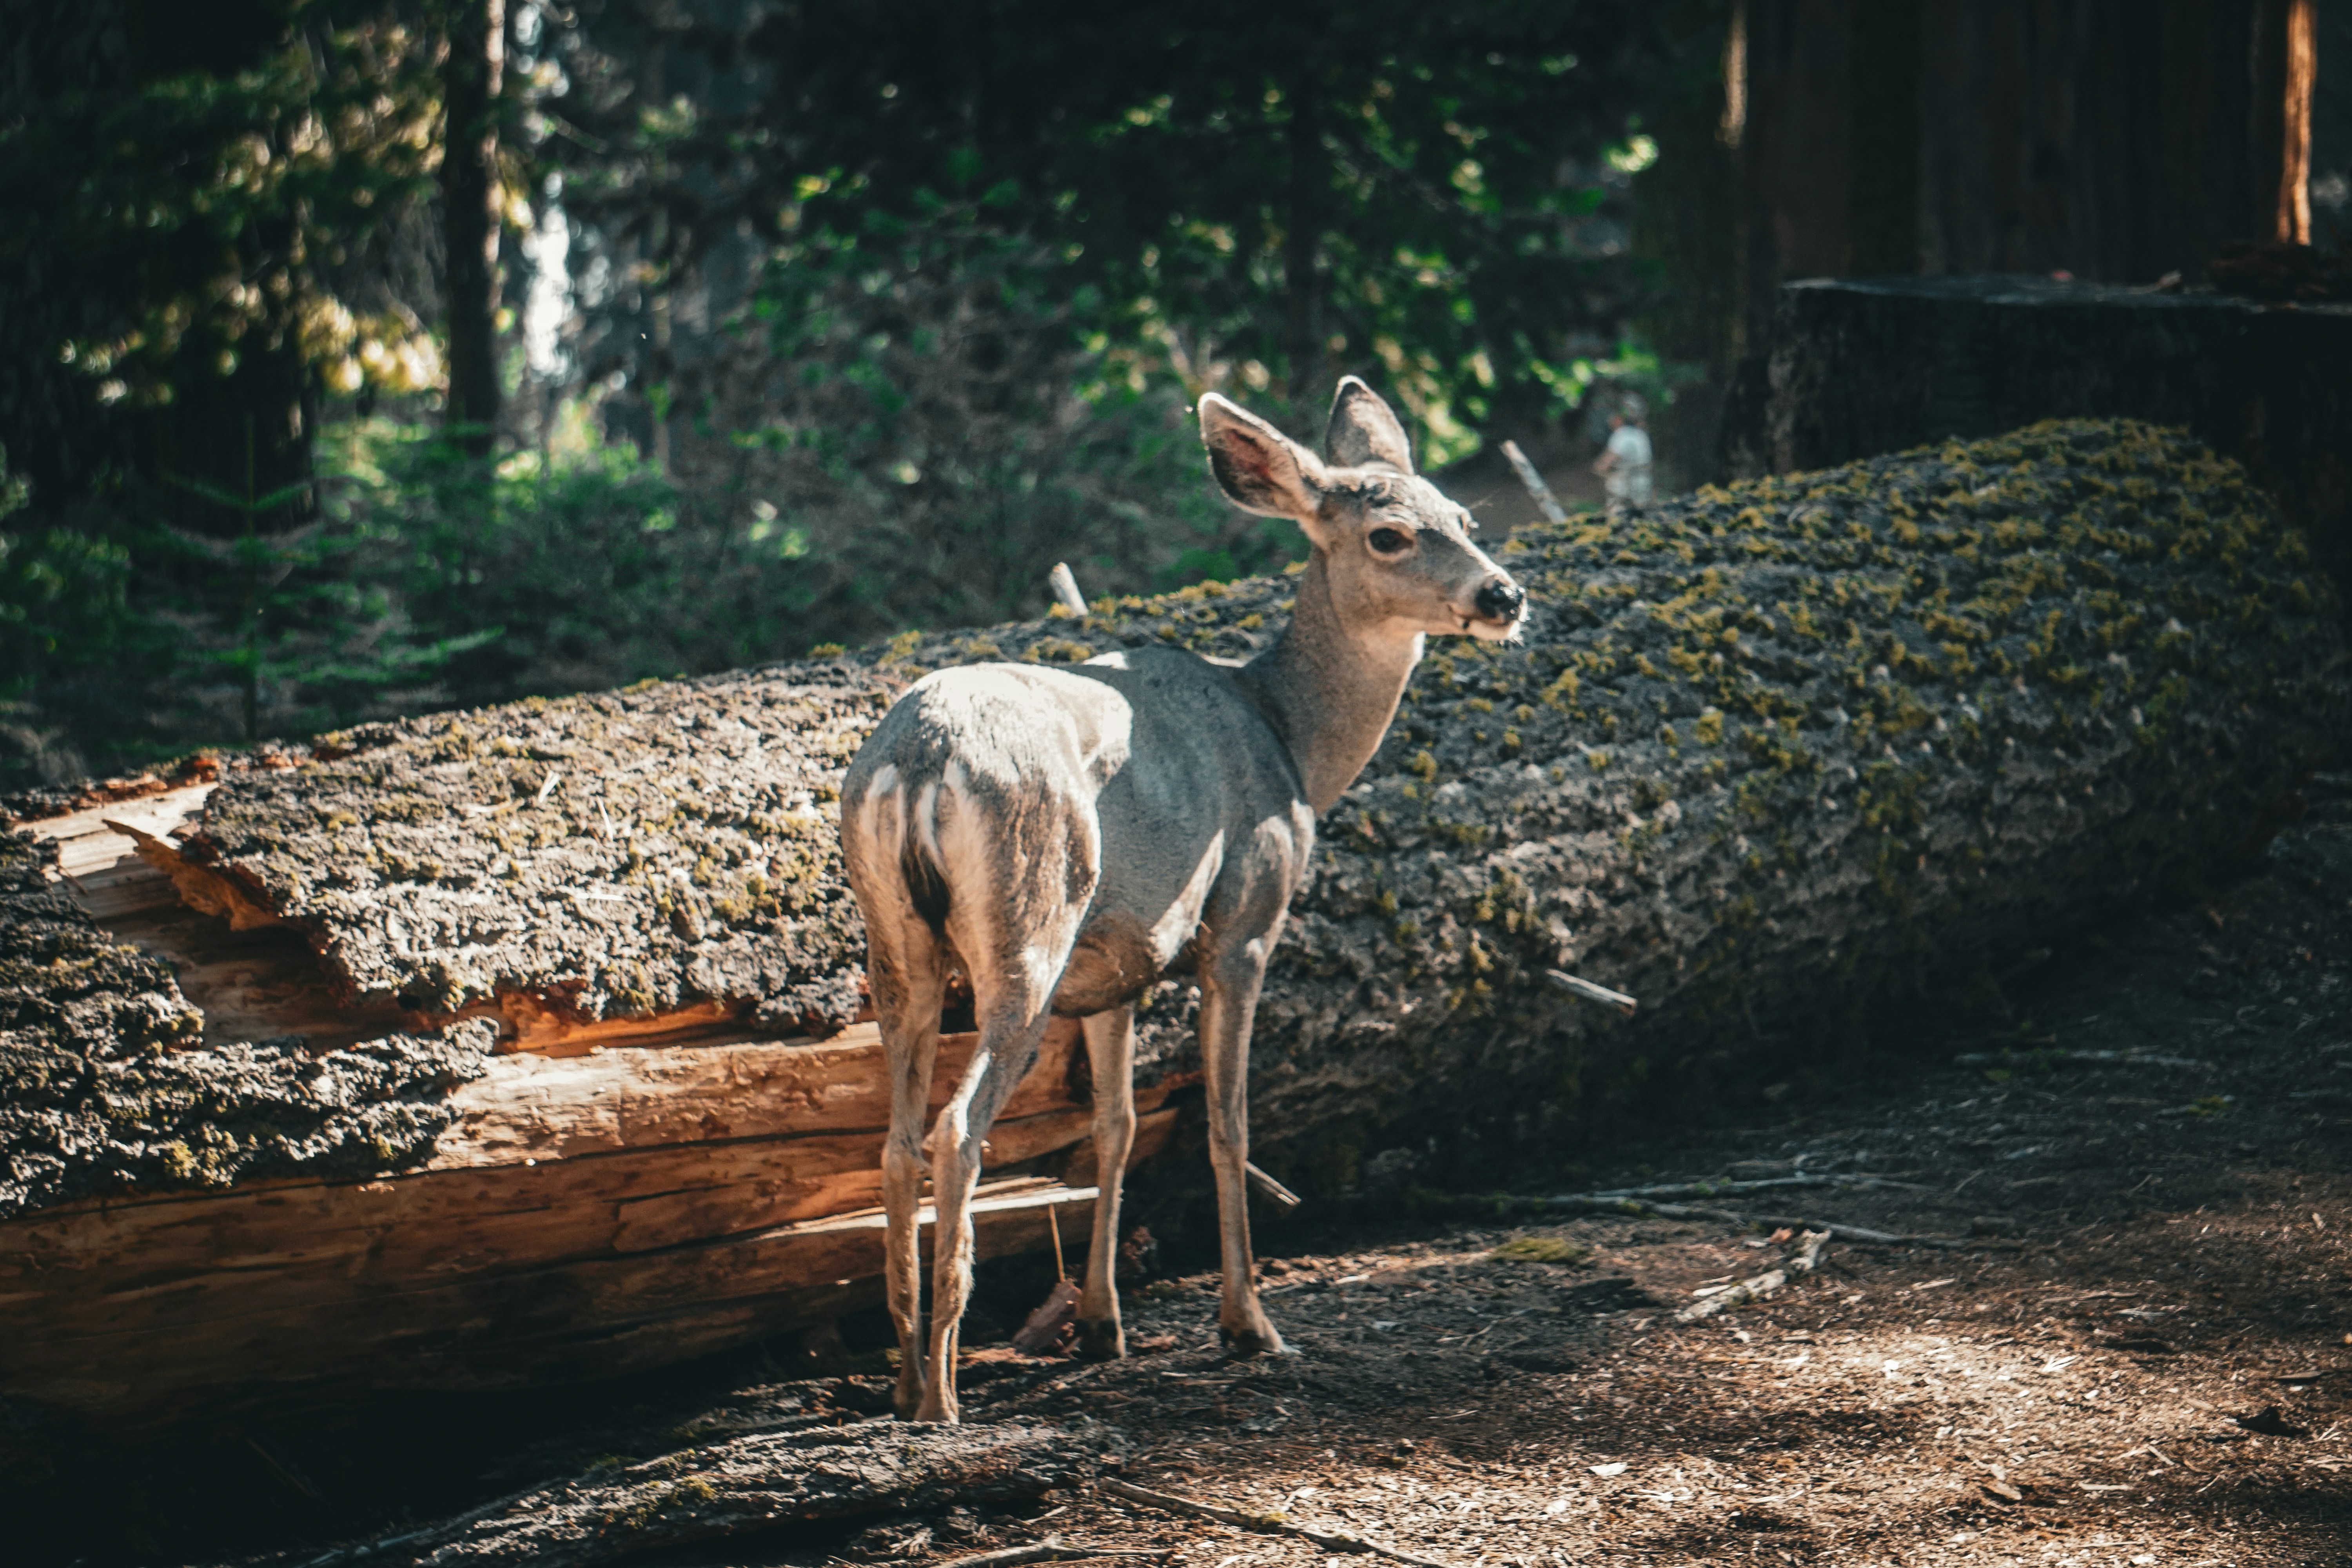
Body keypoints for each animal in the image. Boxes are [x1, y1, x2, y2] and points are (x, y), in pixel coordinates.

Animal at [839, 377, 1527, 1423]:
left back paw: (908, 1375)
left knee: (895, 1140)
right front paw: (1250, 1325)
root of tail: (919, 760)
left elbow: (1116, 1129)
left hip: (897, 945)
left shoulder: (1114, 968)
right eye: (1389, 536)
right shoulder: (1245, 916)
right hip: (1030, 920)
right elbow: (1229, 1121)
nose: (1503, 595)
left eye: (1465, 518)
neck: (1292, 742)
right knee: (959, 1127)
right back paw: (944, 1397)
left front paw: (1101, 1326)